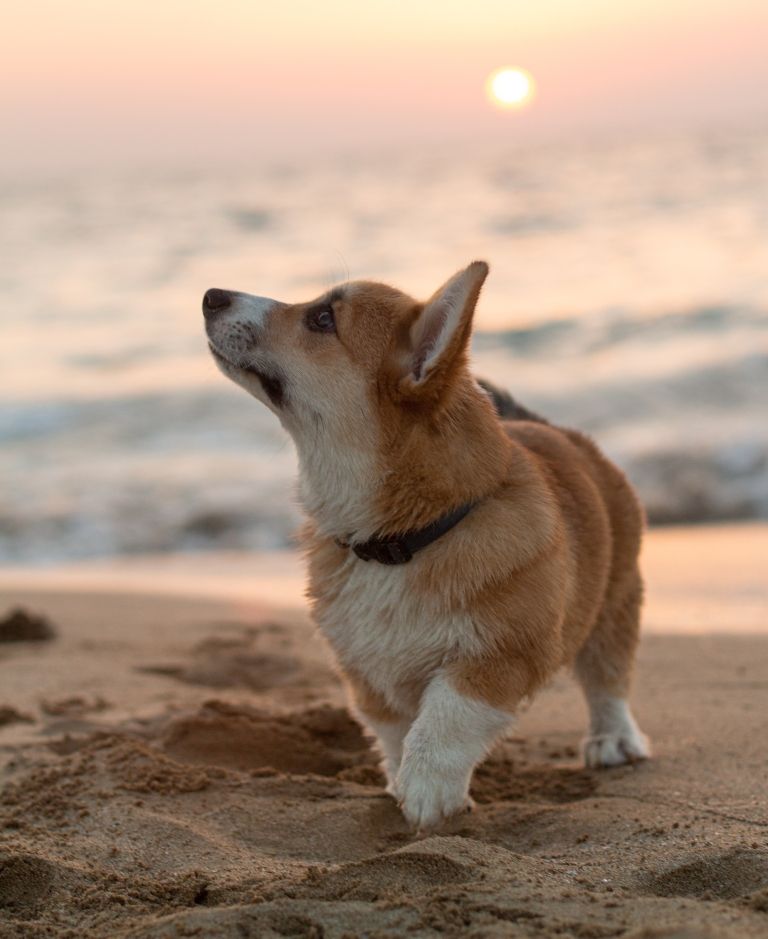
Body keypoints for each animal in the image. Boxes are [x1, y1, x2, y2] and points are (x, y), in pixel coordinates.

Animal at [202, 262, 648, 828]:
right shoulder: (366, 671)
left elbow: (446, 718)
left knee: (608, 675)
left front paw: (428, 792)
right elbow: (396, 731)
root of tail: (554, 429)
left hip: (617, 596)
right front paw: (400, 782)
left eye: (323, 319)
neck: (398, 541)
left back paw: (613, 739)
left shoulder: (501, 655)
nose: (210, 295)